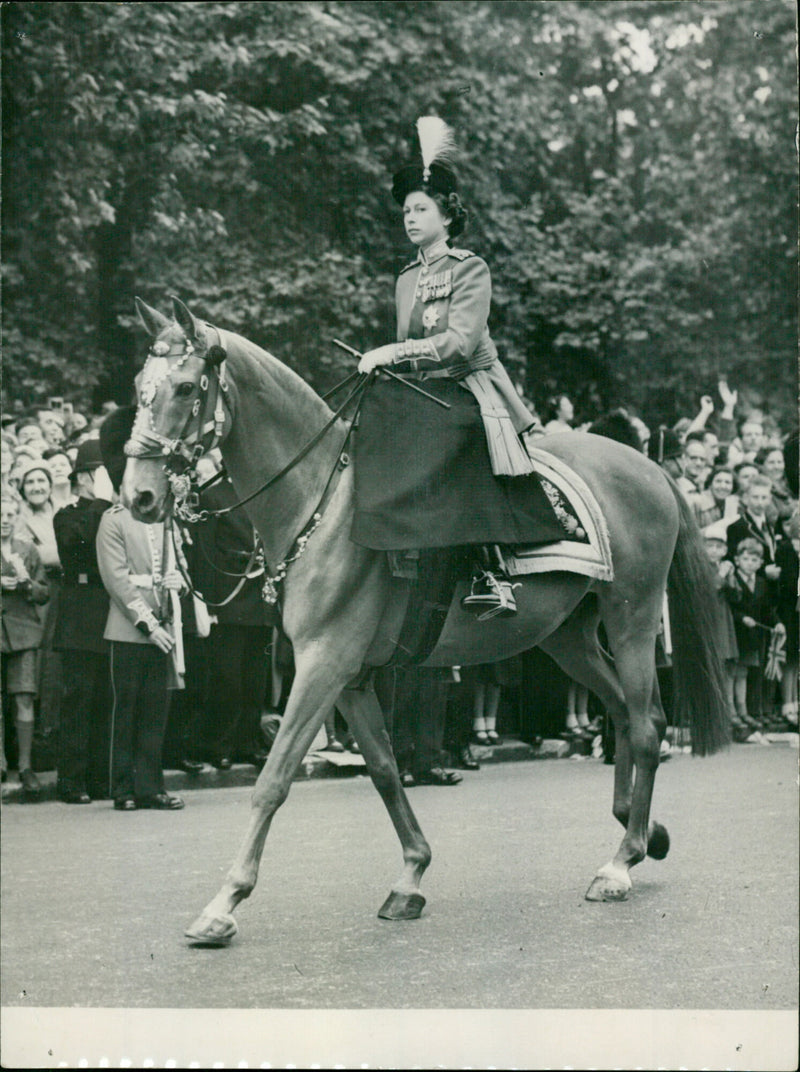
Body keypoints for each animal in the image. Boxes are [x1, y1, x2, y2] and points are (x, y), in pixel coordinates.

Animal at [121, 300, 724, 947]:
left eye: (186, 387)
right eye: (138, 388)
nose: (139, 498)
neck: (319, 502)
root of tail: (650, 467)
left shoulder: (324, 663)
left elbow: (274, 779)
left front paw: (224, 902)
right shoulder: (350, 676)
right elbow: (386, 771)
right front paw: (411, 874)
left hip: (632, 614)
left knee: (647, 724)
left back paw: (622, 861)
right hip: (569, 635)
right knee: (623, 712)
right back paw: (641, 833)